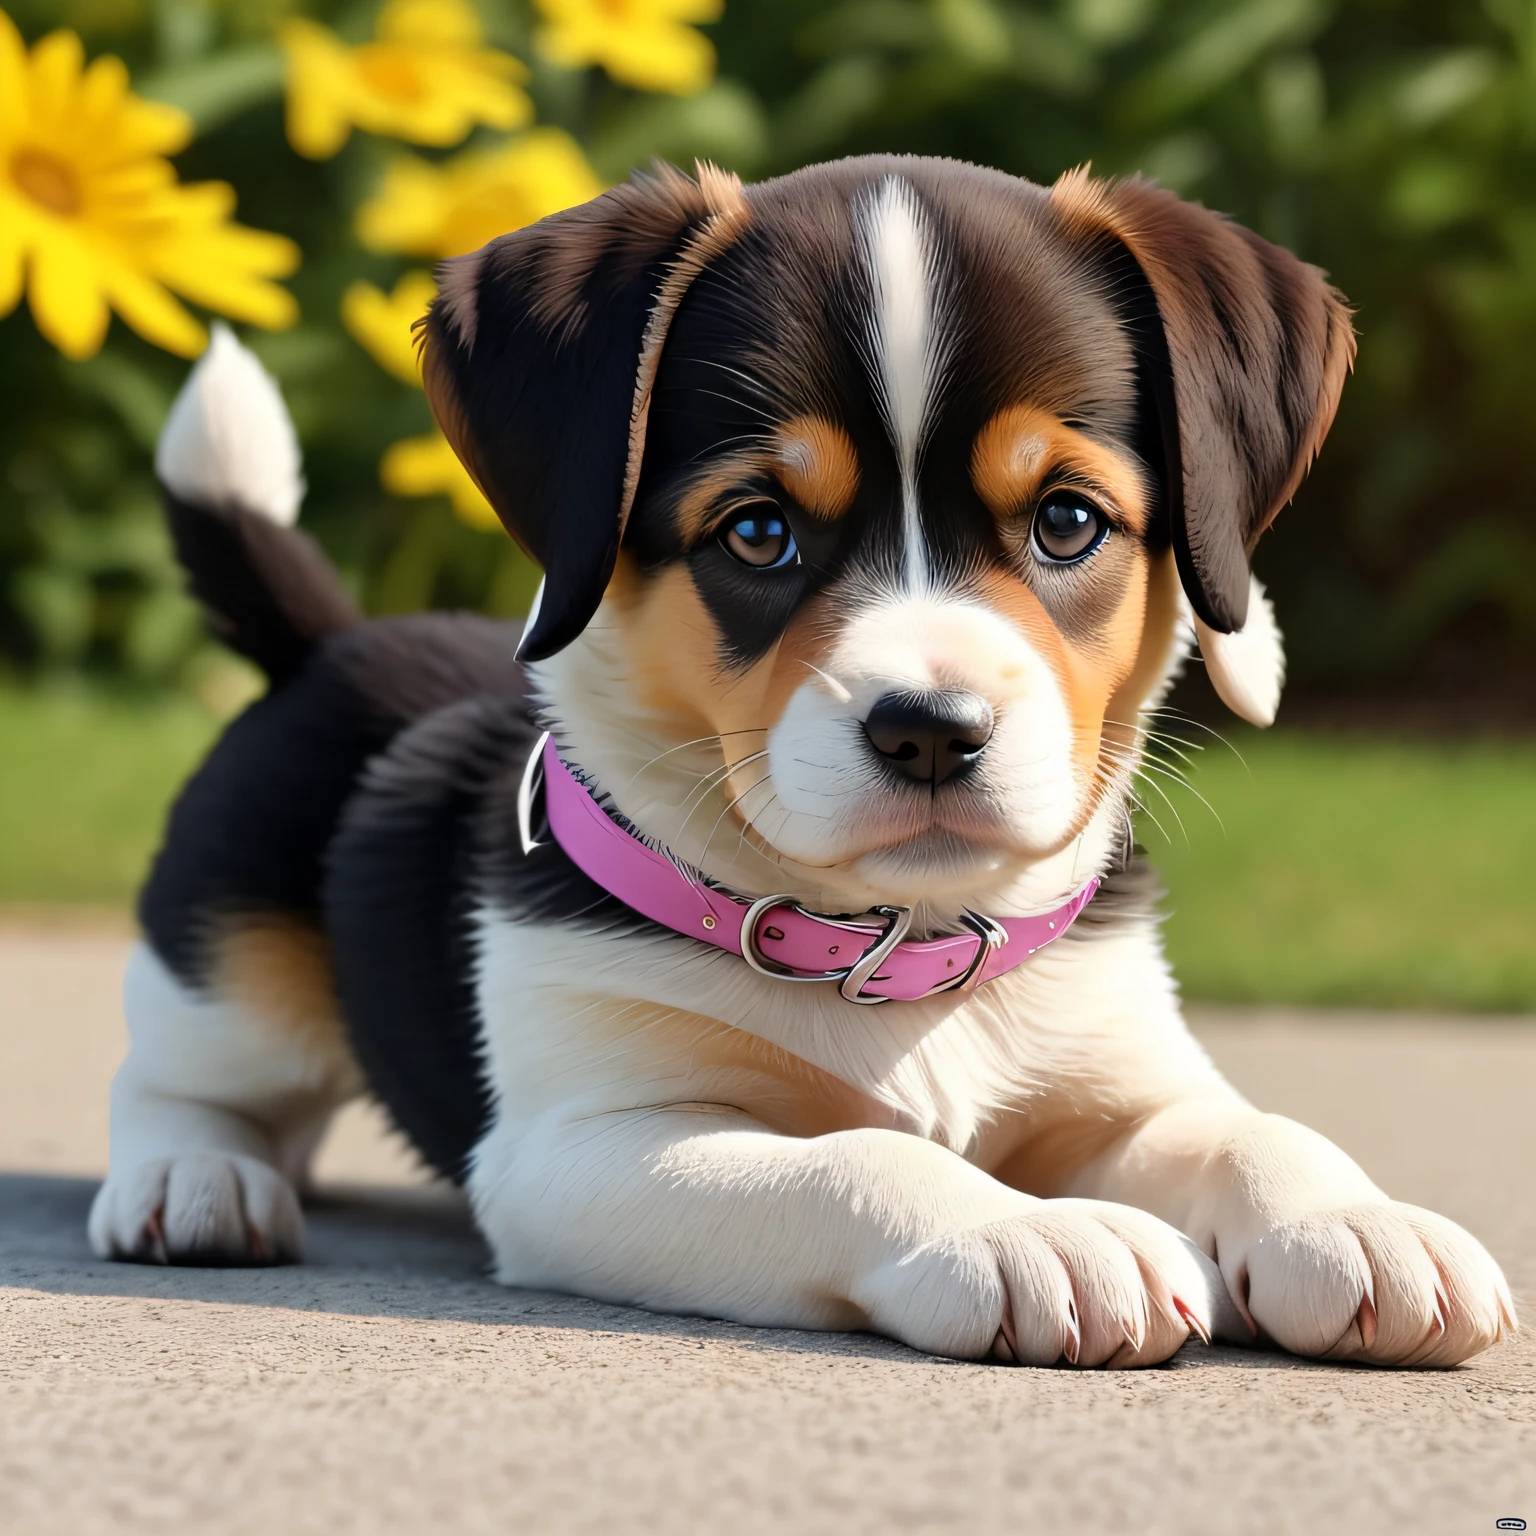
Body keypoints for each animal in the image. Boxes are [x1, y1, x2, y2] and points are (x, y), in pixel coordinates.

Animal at [89, 155, 1517, 1370]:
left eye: (1068, 521)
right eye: (758, 532)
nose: (931, 727)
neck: (904, 954)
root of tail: (336, 637)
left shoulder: (1121, 1087)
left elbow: (1251, 1129)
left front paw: (1357, 1223)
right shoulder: (590, 1148)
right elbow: (856, 1163)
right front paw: (1030, 1231)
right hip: (230, 970)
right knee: (179, 1081)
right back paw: (193, 1183)